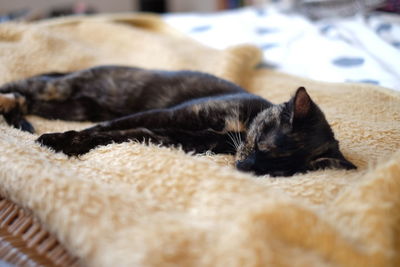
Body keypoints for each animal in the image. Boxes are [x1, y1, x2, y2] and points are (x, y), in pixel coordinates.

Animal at [0, 65, 356, 177]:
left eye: (276, 172)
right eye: (261, 145)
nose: (244, 167)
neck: (236, 132)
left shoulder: (169, 136)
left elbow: (115, 135)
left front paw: (70, 145)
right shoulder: (168, 115)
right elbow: (104, 129)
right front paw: (58, 140)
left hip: (68, 106)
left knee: (31, 101)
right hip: (61, 88)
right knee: (21, 86)